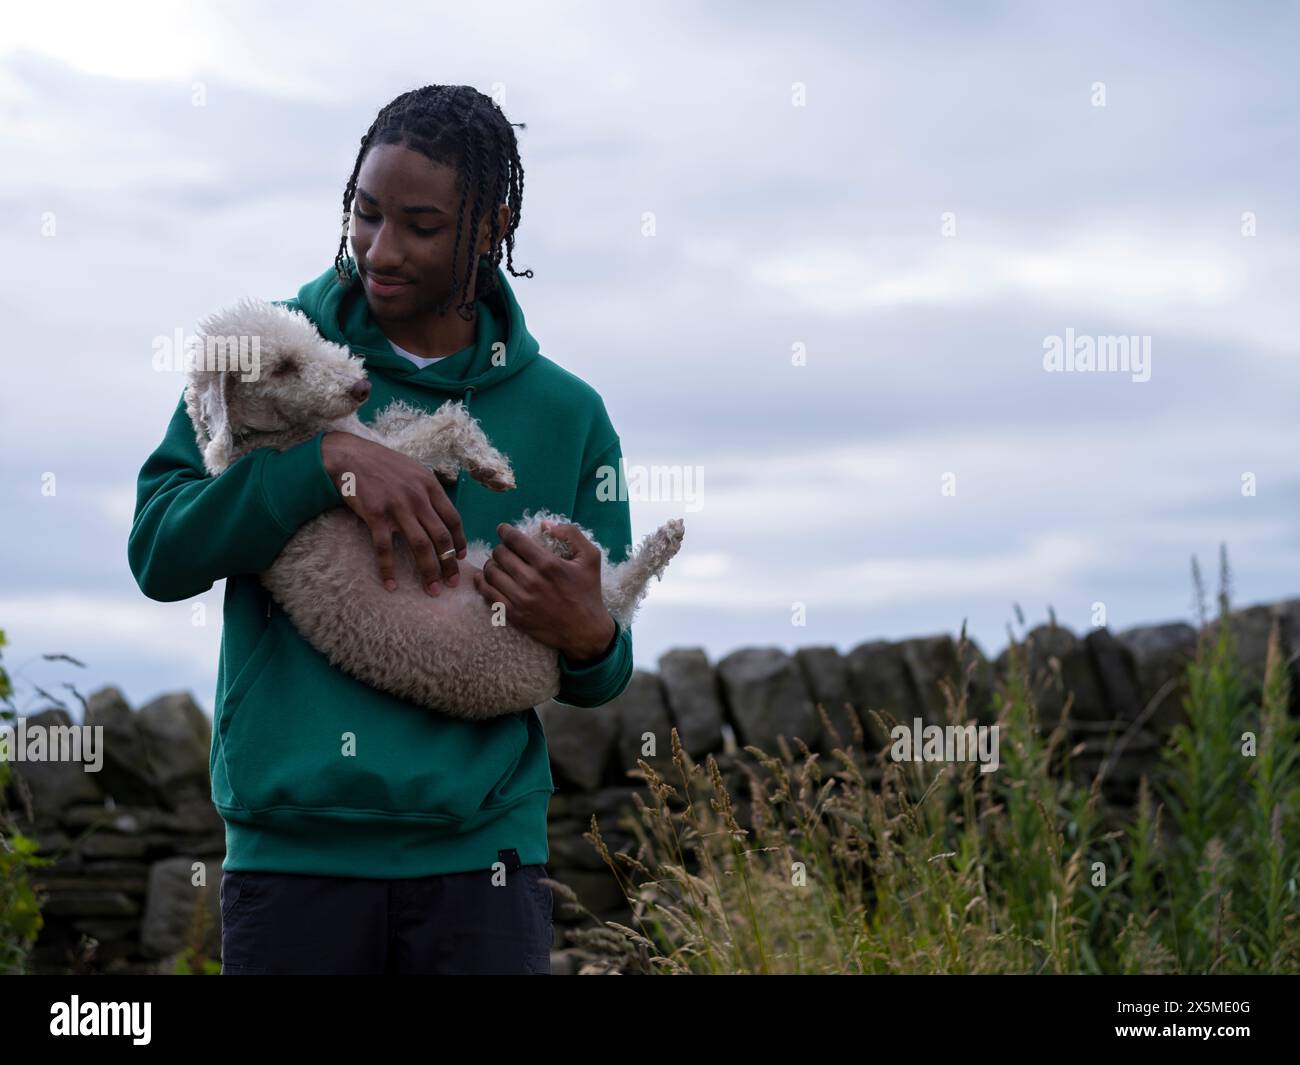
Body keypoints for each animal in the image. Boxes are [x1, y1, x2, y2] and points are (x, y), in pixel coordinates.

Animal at [189, 295, 691, 723]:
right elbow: (448, 421)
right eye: (283, 368)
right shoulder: (383, 458)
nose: (360, 386)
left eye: (312, 338)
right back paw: (661, 539)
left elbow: (401, 416)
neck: (270, 437)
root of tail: (548, 674)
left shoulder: (376, 435)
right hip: (530, 560)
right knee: (615, 589)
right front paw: (489, 465)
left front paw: (450, 464)